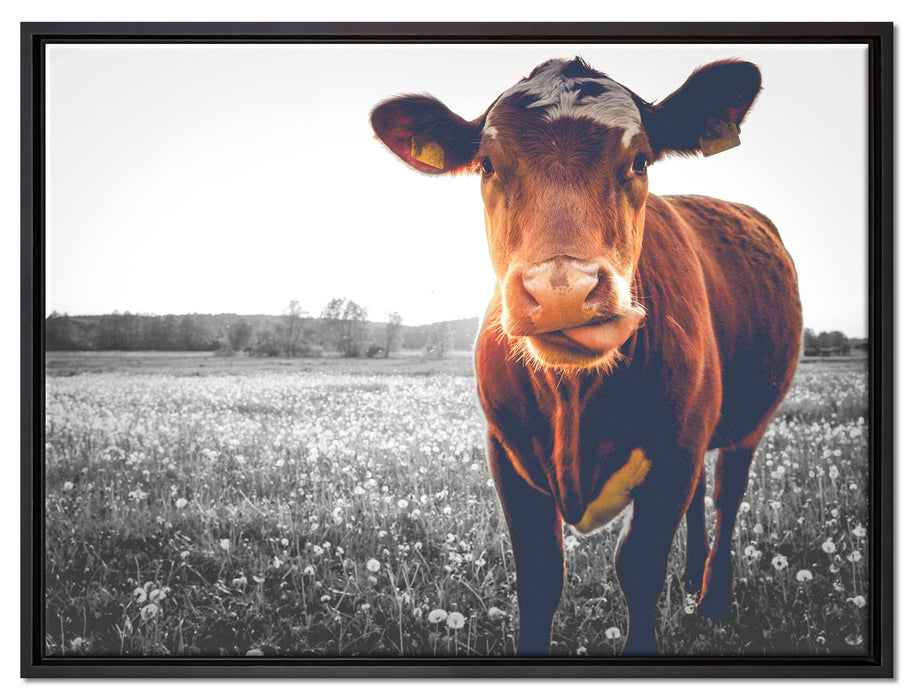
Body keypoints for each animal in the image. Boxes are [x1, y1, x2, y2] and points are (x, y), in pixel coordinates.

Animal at [370, 57, 802, 656]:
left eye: (640, 159)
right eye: (486, 165)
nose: (562, 291)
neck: (574, 399)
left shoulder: (675, 453)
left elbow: (639, 567)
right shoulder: (507, 453)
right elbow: (539, 575)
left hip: (747, 423)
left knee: (725, 495)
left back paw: (712, 598)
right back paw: (692, 578)